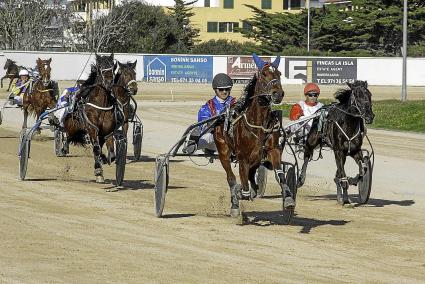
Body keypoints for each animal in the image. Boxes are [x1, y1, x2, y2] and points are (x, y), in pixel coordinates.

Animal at [63, 52, 119, 182]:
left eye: (112, 66)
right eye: (100, 68)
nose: (109, 82)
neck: (101, 105)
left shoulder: (107, 132)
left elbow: (111, 154)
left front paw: (104, 160)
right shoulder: (92, 129)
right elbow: (96, 149)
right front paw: (98, 170)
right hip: (72, 128)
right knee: (67, 137)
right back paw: (63, 147)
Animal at [214, 53, 294, 217]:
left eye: (279, 74)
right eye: (264, 74)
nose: (278, 94)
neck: (259, 124)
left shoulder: (272, 150)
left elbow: (280, 174)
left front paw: (288, 199)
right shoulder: (242, 157)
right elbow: (242, 184)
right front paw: (240, 195)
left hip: (256, 159)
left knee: (251, 176)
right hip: (223, 151)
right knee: (231, 177)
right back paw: (235, 203)